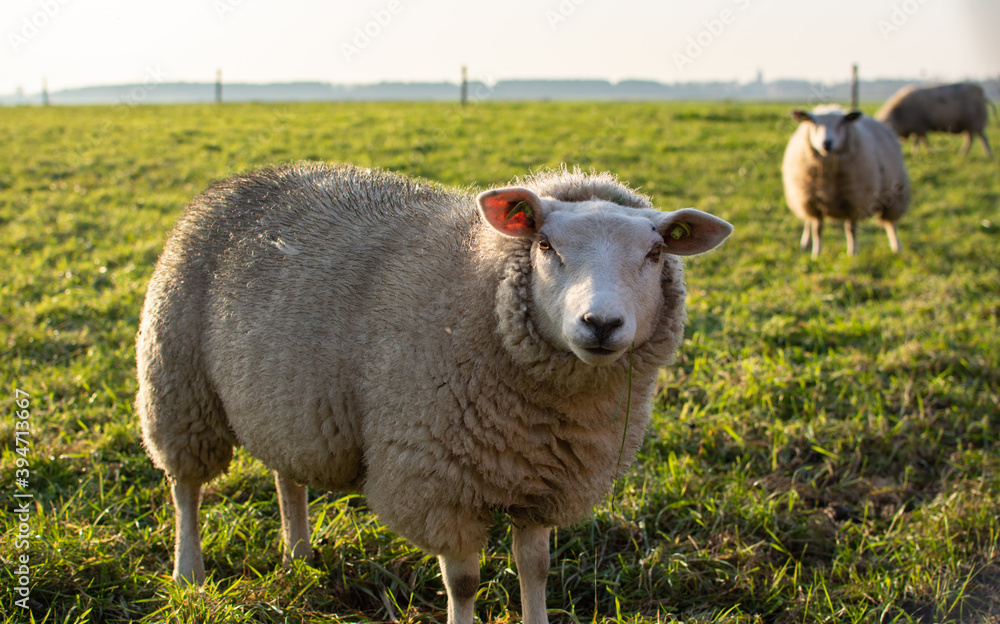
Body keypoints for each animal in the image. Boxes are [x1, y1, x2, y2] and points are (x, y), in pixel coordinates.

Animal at [135, 162, 733, 624]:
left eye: (654, 254)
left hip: (284, 401)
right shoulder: (440, 482)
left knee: (288, 478)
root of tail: (237, 180)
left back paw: (298, 556)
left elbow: (535, 568)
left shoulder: (544, 481)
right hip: (178, 383)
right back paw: (189, 575)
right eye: (544, 245)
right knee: (185, 487)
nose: (601, 323)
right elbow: (463, 582)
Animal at [782, 105, 910, 258]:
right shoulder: (813, 201)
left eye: (841, 123)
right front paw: (816, 254)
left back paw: (897, 247)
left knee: (891, 223)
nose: (826, 143)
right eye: (813, 122)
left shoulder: (855, 200)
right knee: (808, 221)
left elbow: (851, 229)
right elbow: (817, 229)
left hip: (894, 195)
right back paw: (805, 243)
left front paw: (852, 253)